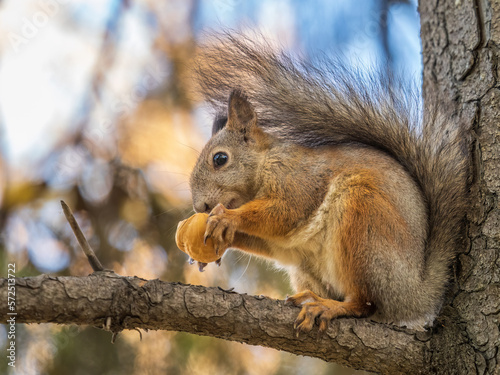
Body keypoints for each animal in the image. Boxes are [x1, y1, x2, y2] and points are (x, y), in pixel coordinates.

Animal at [188, 33, 468, 334]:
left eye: (220, 159)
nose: (200, 206)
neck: (265, 163)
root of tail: (414, 294)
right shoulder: (282, 244)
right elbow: (270, 243)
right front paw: (221, 241)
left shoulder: (299, 180)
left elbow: (285, 212)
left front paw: (226, 218)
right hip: (307, 265)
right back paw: (310, 298)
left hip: (364, 223)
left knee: (365, 304)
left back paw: (330, 307)